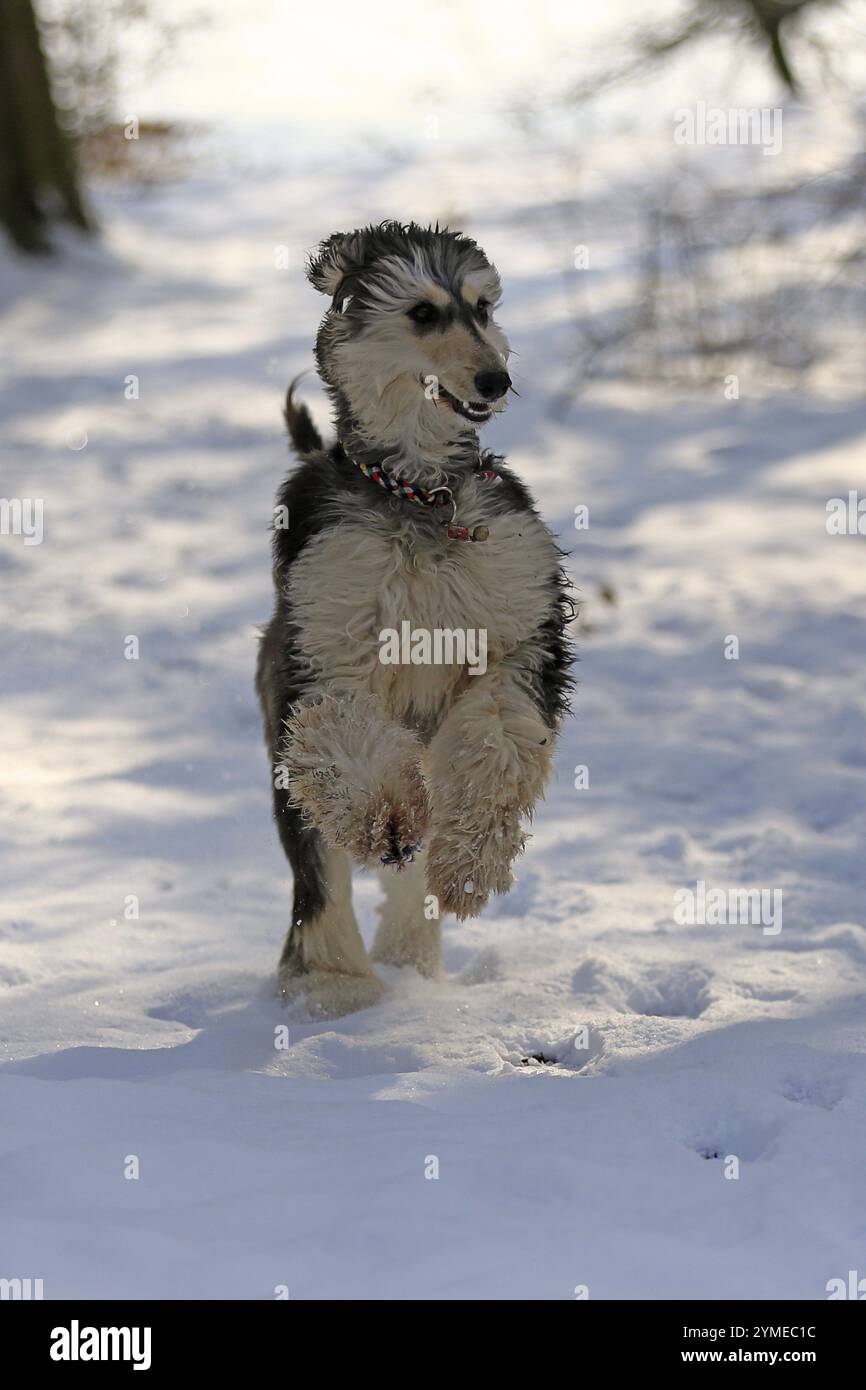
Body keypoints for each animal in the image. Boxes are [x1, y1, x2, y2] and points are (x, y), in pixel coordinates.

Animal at [254, 219, 572, 1023]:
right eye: (423, 313)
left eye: (483, 308)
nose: (494, 381)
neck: (420, 494)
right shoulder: (328, 648)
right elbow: (349, 741)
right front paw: (387, 819)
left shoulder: (517, 632)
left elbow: (500, 739)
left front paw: (470, 866)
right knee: (319, 871)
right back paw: (334, 980)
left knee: (413, 863)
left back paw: (410, 959)